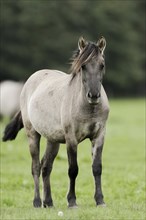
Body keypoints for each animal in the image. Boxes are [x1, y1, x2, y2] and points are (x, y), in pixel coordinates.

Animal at [2, 37, 109, 209]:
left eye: (102, 65)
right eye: (83, 66)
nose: (93, 95)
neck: (88, 108)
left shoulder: (99, 136)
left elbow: (97, 168)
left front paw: (100, 201)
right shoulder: (71, 139)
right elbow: (73, 169)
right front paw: (72, 201)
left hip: (53, 140)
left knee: (46, 167)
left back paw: (49, 202)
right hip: (32, 134)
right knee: (36, 167)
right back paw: (37, 202)